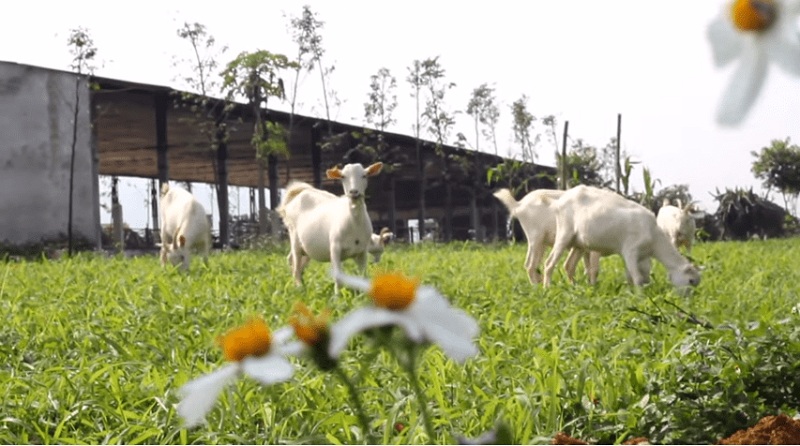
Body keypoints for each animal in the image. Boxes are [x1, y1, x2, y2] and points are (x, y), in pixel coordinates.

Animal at [278, 162, 384, 290]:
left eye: (364, 175)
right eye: (343, 176)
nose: (353, 192)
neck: (354, 223)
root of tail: (301, 192)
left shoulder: (362, 251)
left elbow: (363, 276)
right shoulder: (335, 248)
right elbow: (338, 277)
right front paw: (337, 295)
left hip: (307, 247)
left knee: (294, 261)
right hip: (293, 235)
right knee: (296, 266)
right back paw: (299, 287)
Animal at [544, 186, 700, 288]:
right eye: (691, 281)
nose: (687, 302)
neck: (654, 235)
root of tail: (560, 201)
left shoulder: (640, 257)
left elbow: (634, 276)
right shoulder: (630, 251)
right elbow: (637, 278)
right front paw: (641, 297)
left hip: (578, 243)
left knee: (569, 265)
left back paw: (574, 288)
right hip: (564, 233)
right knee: (549, 263)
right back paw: (547, 288)